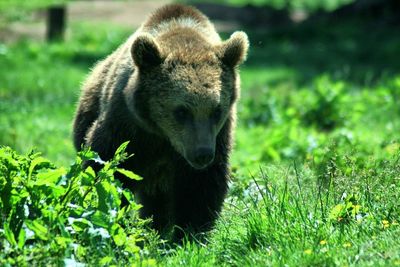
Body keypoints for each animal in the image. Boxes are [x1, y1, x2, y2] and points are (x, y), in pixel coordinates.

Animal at [72, 3, 247, 240]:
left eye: (216, 110)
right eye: (181, 111)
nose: (202, 154)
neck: (164, 136)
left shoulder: (217, 137)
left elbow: (200, 186)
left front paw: (190, 233)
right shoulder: (127, 126)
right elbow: (108, 170)